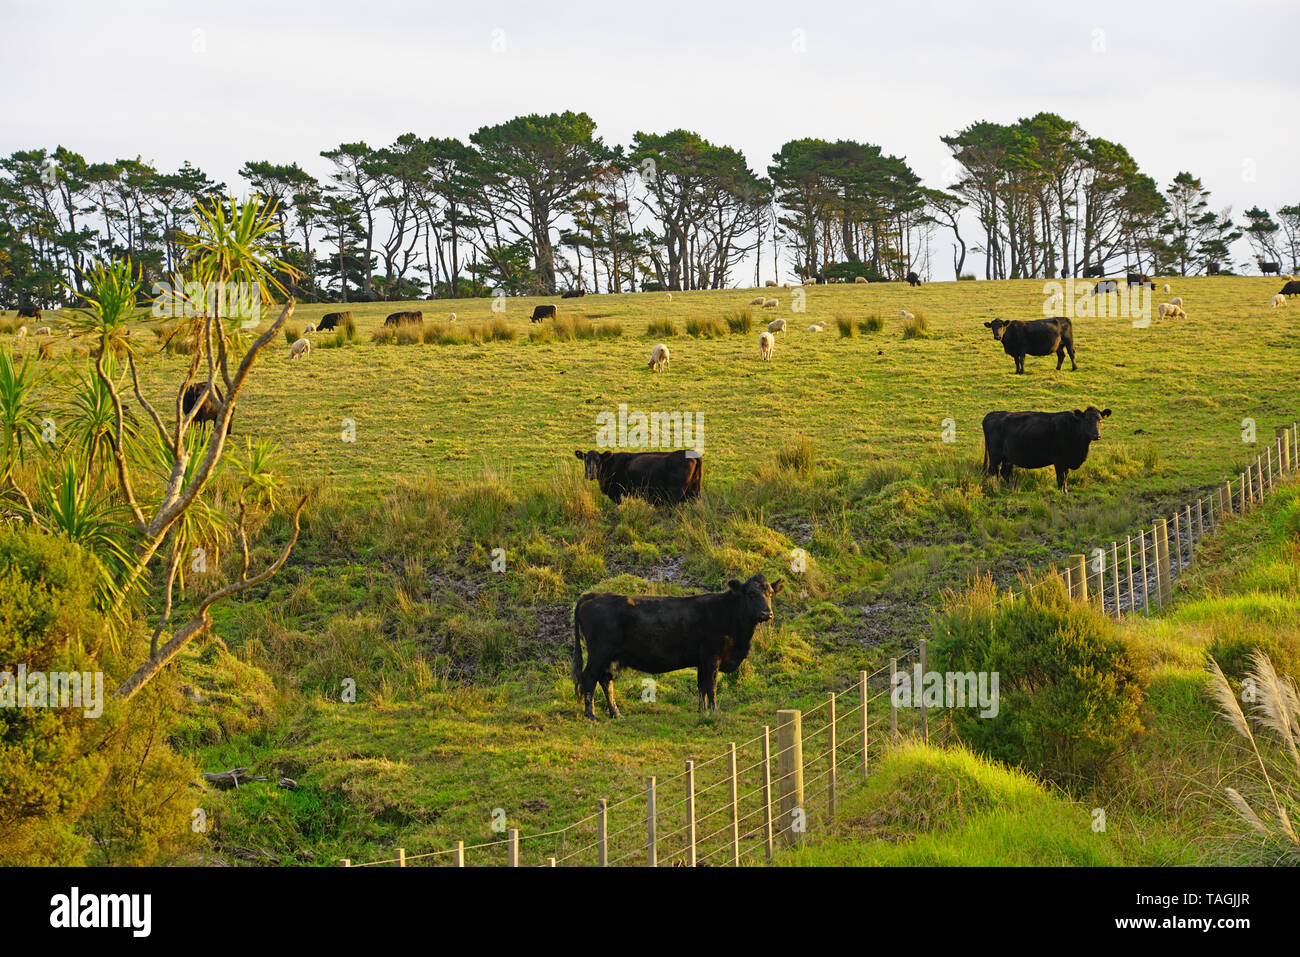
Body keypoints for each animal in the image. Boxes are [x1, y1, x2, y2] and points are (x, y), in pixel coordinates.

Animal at [572, 572, 780, 712]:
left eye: (770, 593)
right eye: (751, 593)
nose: (767, 613)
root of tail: (594, 595)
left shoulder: (702, 660)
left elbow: (701, 686)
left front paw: (702, 711)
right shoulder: (712, 657)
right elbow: (711, 686)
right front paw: (715, 712)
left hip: (608, 657)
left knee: (605, 680)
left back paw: (616, 714)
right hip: (599, 653)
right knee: (589, 678)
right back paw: (591, 715)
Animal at [577, 449, 707, 504]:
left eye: (598, 461)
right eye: (585, 460)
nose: (589, 475)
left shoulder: (616, 494)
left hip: (676, 493)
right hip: (694, 491)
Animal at [977, 405, 1112, 494]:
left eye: (1100, 420)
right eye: (1087, 420)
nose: (1097, 435)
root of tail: (992, 414)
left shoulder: (1067, 460)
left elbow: (1066, 477)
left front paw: (1066, 491)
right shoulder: (1059, 460)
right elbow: (1061, 477)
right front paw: (1061, 493)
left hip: (1008, 457)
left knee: (1005, 472)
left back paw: (1014, 488)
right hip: (995, 455)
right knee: (993, 472)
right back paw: (996, 488)